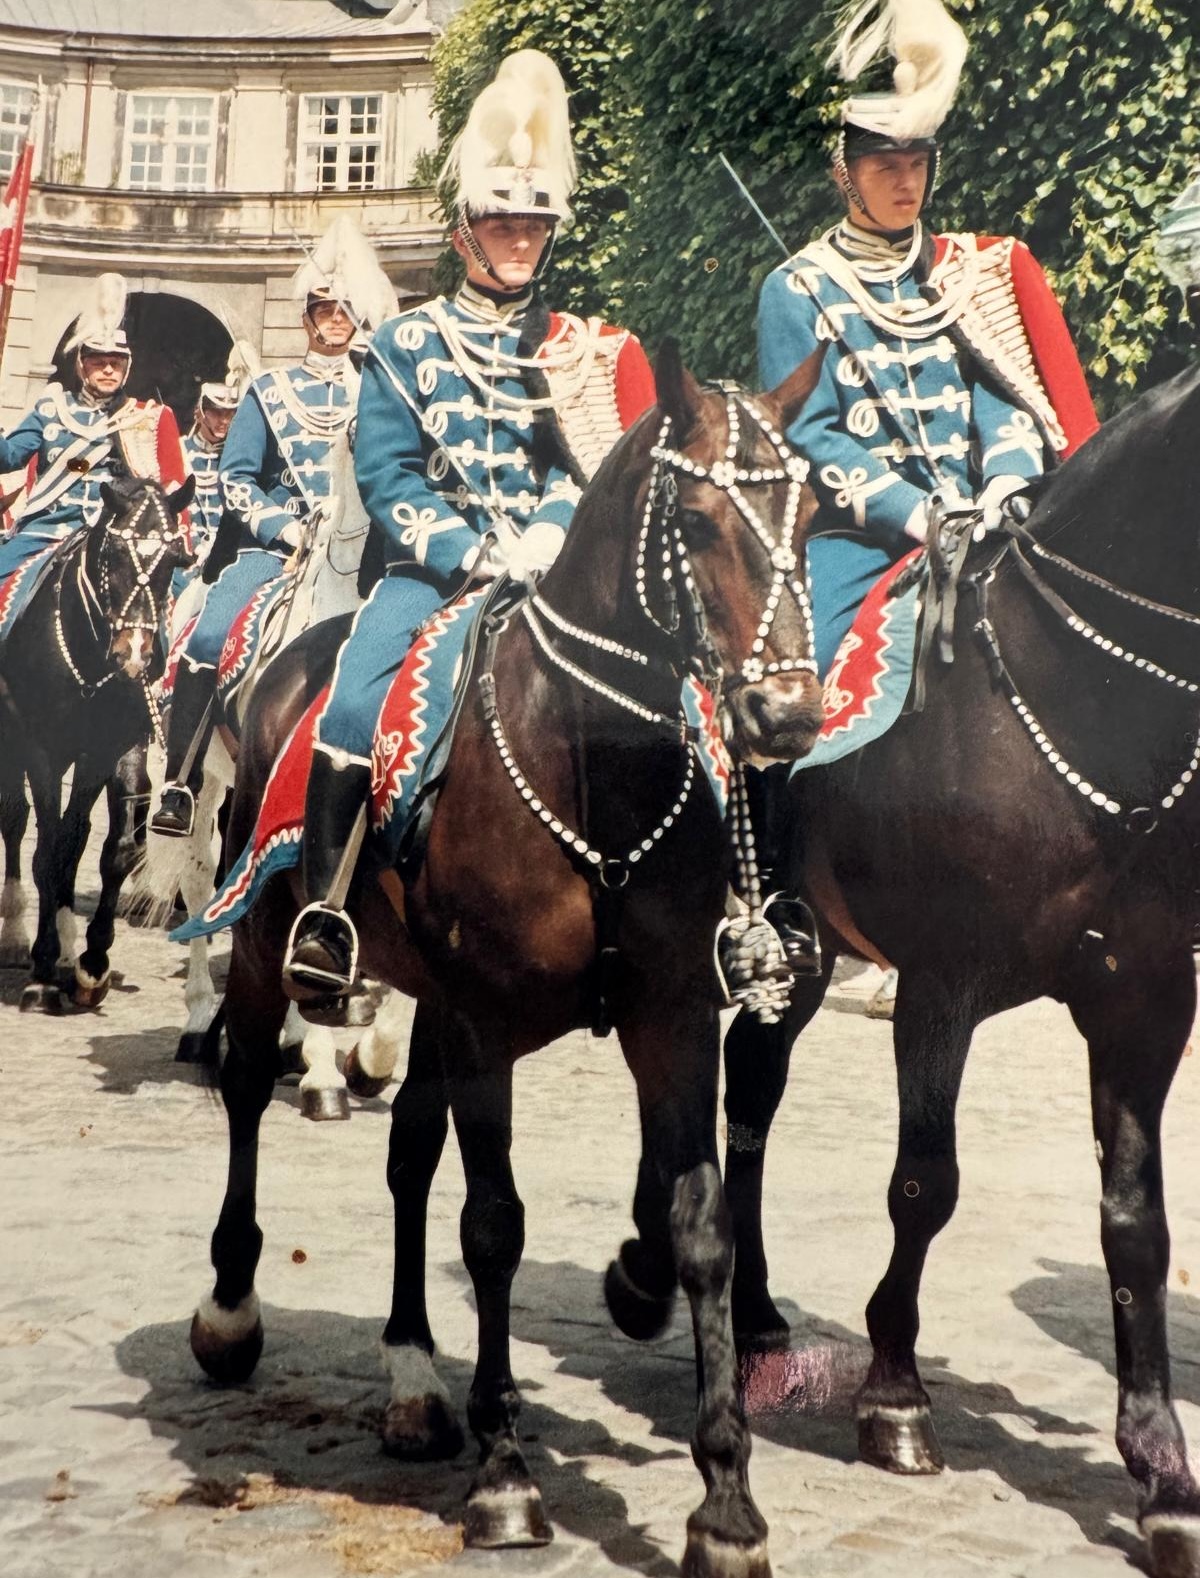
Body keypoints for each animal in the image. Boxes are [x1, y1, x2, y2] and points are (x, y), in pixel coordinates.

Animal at [0, 473, 191, 1009]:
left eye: (173, 558)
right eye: (115, 555)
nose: (135, 655)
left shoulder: (111, 749)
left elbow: (107, 848)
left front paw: (90, 961)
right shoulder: (40, 749)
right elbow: (48, 847)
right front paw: (45, 962)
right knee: (15, 822)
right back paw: (16, 935)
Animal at [183, 348, 827, 1578]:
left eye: (813, 515)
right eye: (699, 521)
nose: (785, 712)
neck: (587, 756)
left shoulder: (673, 1018)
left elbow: (701, 1230)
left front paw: (725, 1501)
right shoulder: (488, 1026)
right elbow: (494, 1229)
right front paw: (508, 1477)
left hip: (428, 999)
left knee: (406, 1154)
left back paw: (412, 1380)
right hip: (263, 935)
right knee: (243, 1085)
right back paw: (231, 1313)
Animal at [713, 361, 1200, 1578]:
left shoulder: (1148, 1000)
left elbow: (1138, 1225)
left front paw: (1161, 1469)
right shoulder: (940, 987)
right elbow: (924, 1186)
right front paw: (894, 1395)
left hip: (811, 956)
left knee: (751, 1096)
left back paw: (758, 1315)